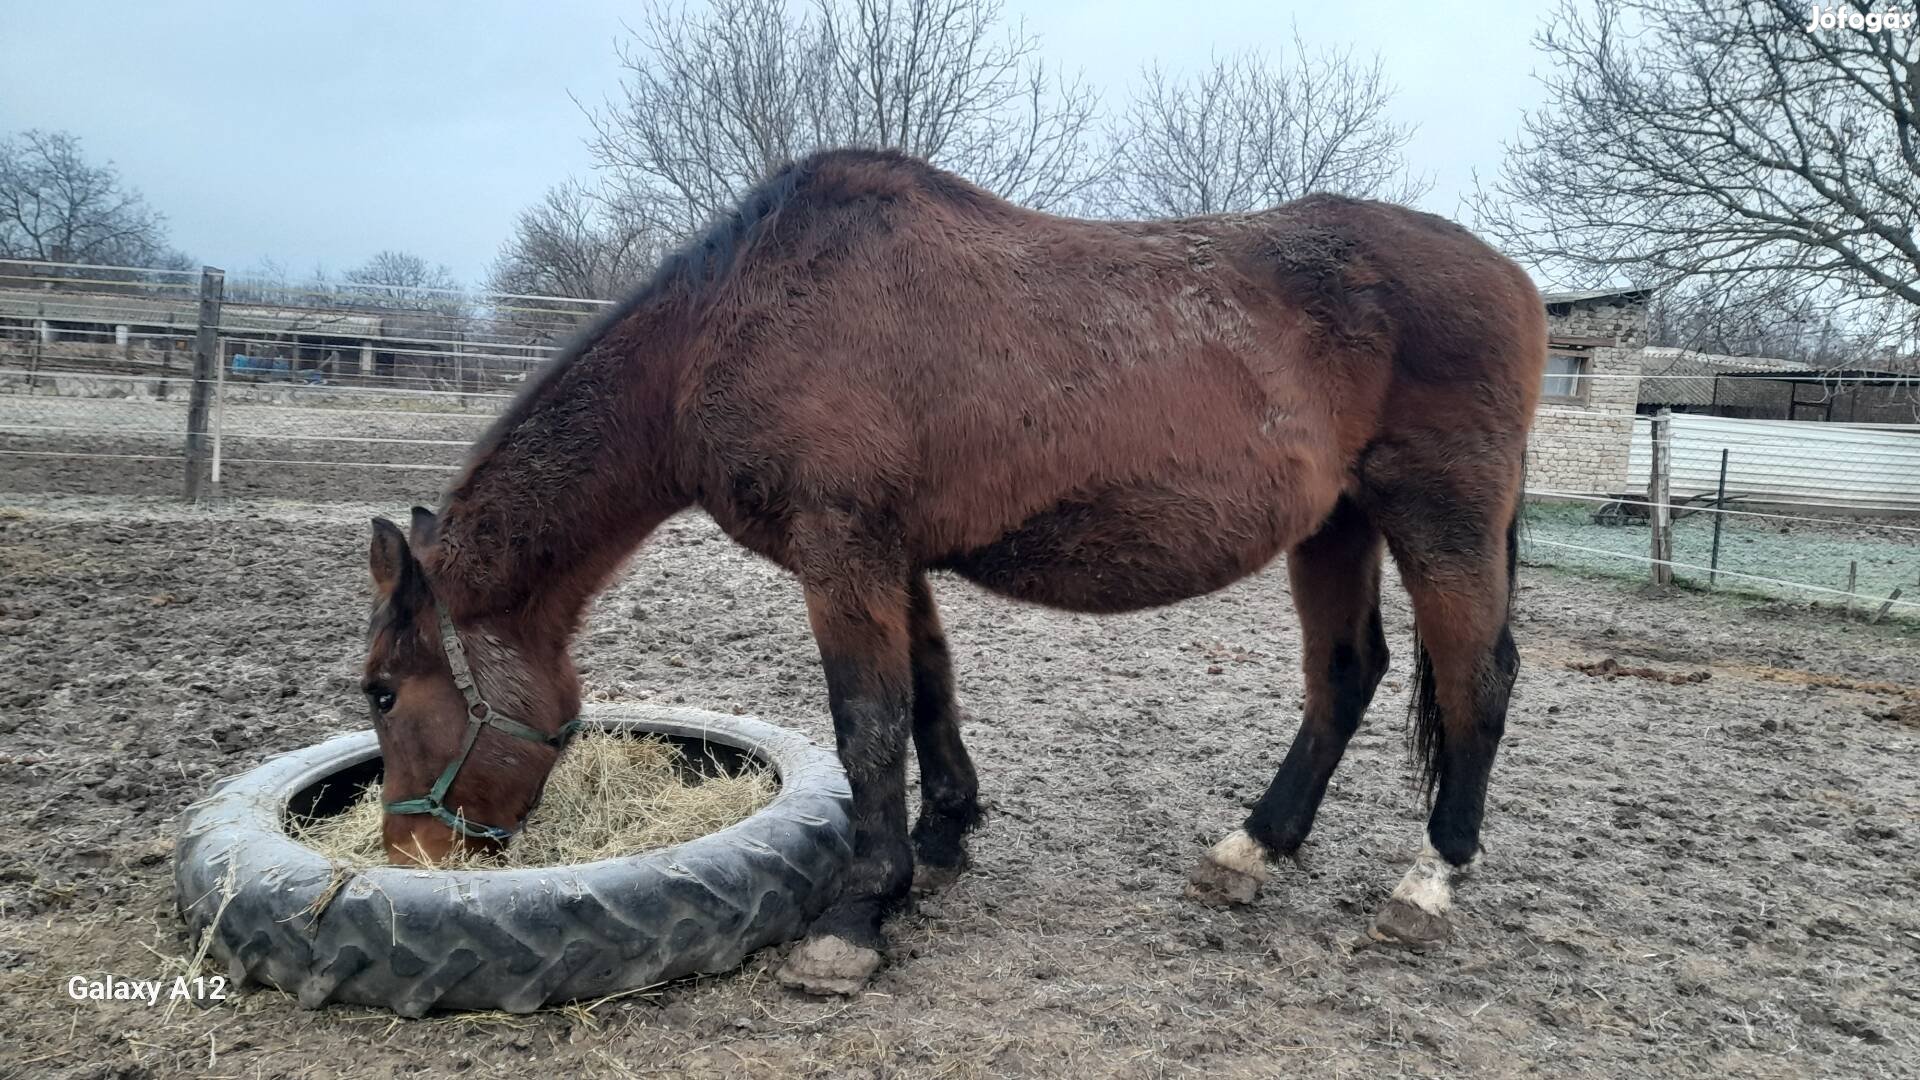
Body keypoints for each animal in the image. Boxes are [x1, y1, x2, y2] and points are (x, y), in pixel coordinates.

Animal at [362, 148, 1543, 991]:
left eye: (381, 692)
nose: (408, 852)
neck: (736, 319)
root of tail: (1514, 280)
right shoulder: (894, 559)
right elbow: (928, 694)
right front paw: (939, 842)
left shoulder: (841, 554)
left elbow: (868, 722)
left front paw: (856, 916)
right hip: (1336, 526)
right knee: (1345, 676)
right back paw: (1251, 849)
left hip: (1440, 518)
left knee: (1475, 681)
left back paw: (1428, 883)